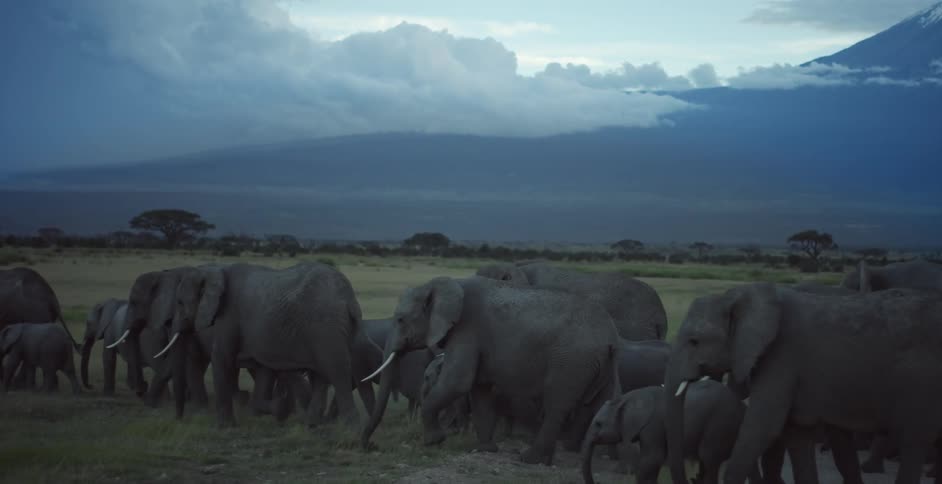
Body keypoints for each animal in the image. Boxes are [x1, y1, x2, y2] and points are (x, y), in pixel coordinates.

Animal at [158, 262, 363, 427]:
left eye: (179, 302)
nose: (179, 419)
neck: (214, 272)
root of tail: (349, 297)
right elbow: (264, 370)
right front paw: (278, 409)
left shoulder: (228, 317)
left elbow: (222, 359)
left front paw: (226, 427)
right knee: (322, 376)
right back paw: (313, 425)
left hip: (326, 326)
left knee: (338, 370)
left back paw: (350, 429)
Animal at [360, 276, 622, 465]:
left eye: (401, 319)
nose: (369, 446)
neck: (442, 284)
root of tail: (610, 338)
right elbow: (480, 389)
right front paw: (483, 449)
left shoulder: (467, 330)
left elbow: (458, 381)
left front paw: (434, 441)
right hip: (603, 366)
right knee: (601, 403)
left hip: (571, 362)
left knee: (557, 406)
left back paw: (530, 459)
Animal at [581, 380, 762, 484]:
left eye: (598, 424)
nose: (595, 482)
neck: (627, 398)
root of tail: (742, 406)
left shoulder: (653, 425)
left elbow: (652, 458)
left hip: (720, 422)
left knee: (708, 458)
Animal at [664, 283, 942, 484]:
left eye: (694, 341)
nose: (691, 478)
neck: (735, 297)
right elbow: (797, 434)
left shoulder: (781, 357)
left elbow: (762, 428)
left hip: (921, 384)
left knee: (913, 442)